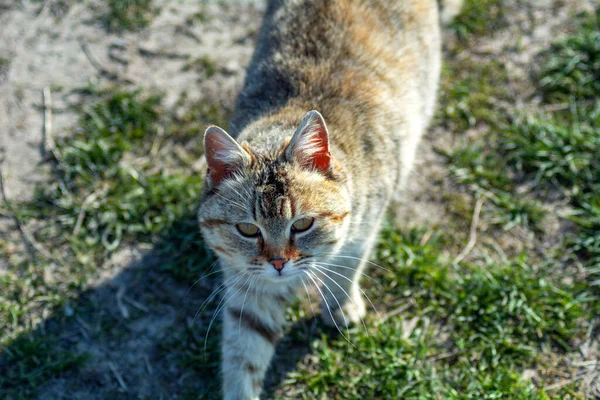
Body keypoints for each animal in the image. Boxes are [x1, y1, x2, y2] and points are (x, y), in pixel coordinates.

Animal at [197, 1, 460, 398]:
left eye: (303, 223)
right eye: (248, 230)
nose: (278, 263)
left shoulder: (363, 230)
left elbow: (346, 267)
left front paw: (341, 305)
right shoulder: (249, 282)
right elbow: (244, 354)